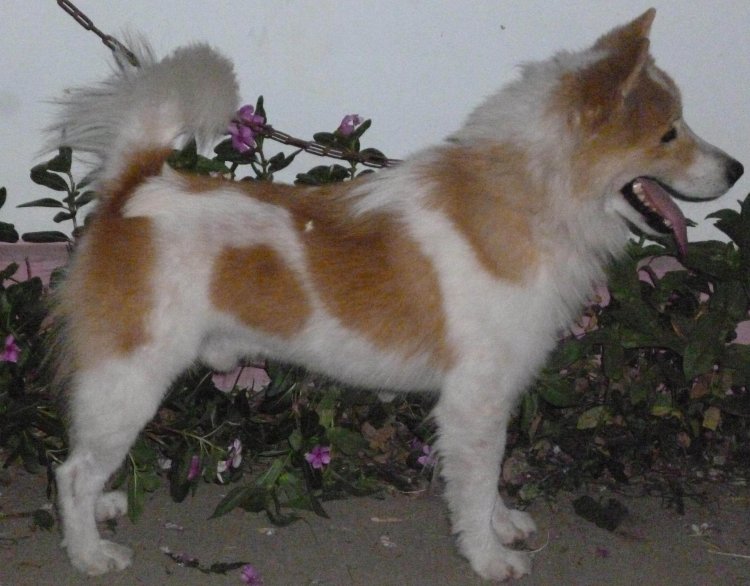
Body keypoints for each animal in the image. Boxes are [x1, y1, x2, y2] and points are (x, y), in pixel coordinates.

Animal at [50, 8, 742, 580]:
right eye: (669, 133)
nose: (737, 170)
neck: (529, 199)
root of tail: (134, 188)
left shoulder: (492, 398)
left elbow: (490, 478)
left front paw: (500, 525)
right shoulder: (473, 400)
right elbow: (475, 484)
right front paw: (488, 556)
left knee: (83, 465)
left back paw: (103, 507)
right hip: (131, 378)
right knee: (71, 473)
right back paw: (88, 553)